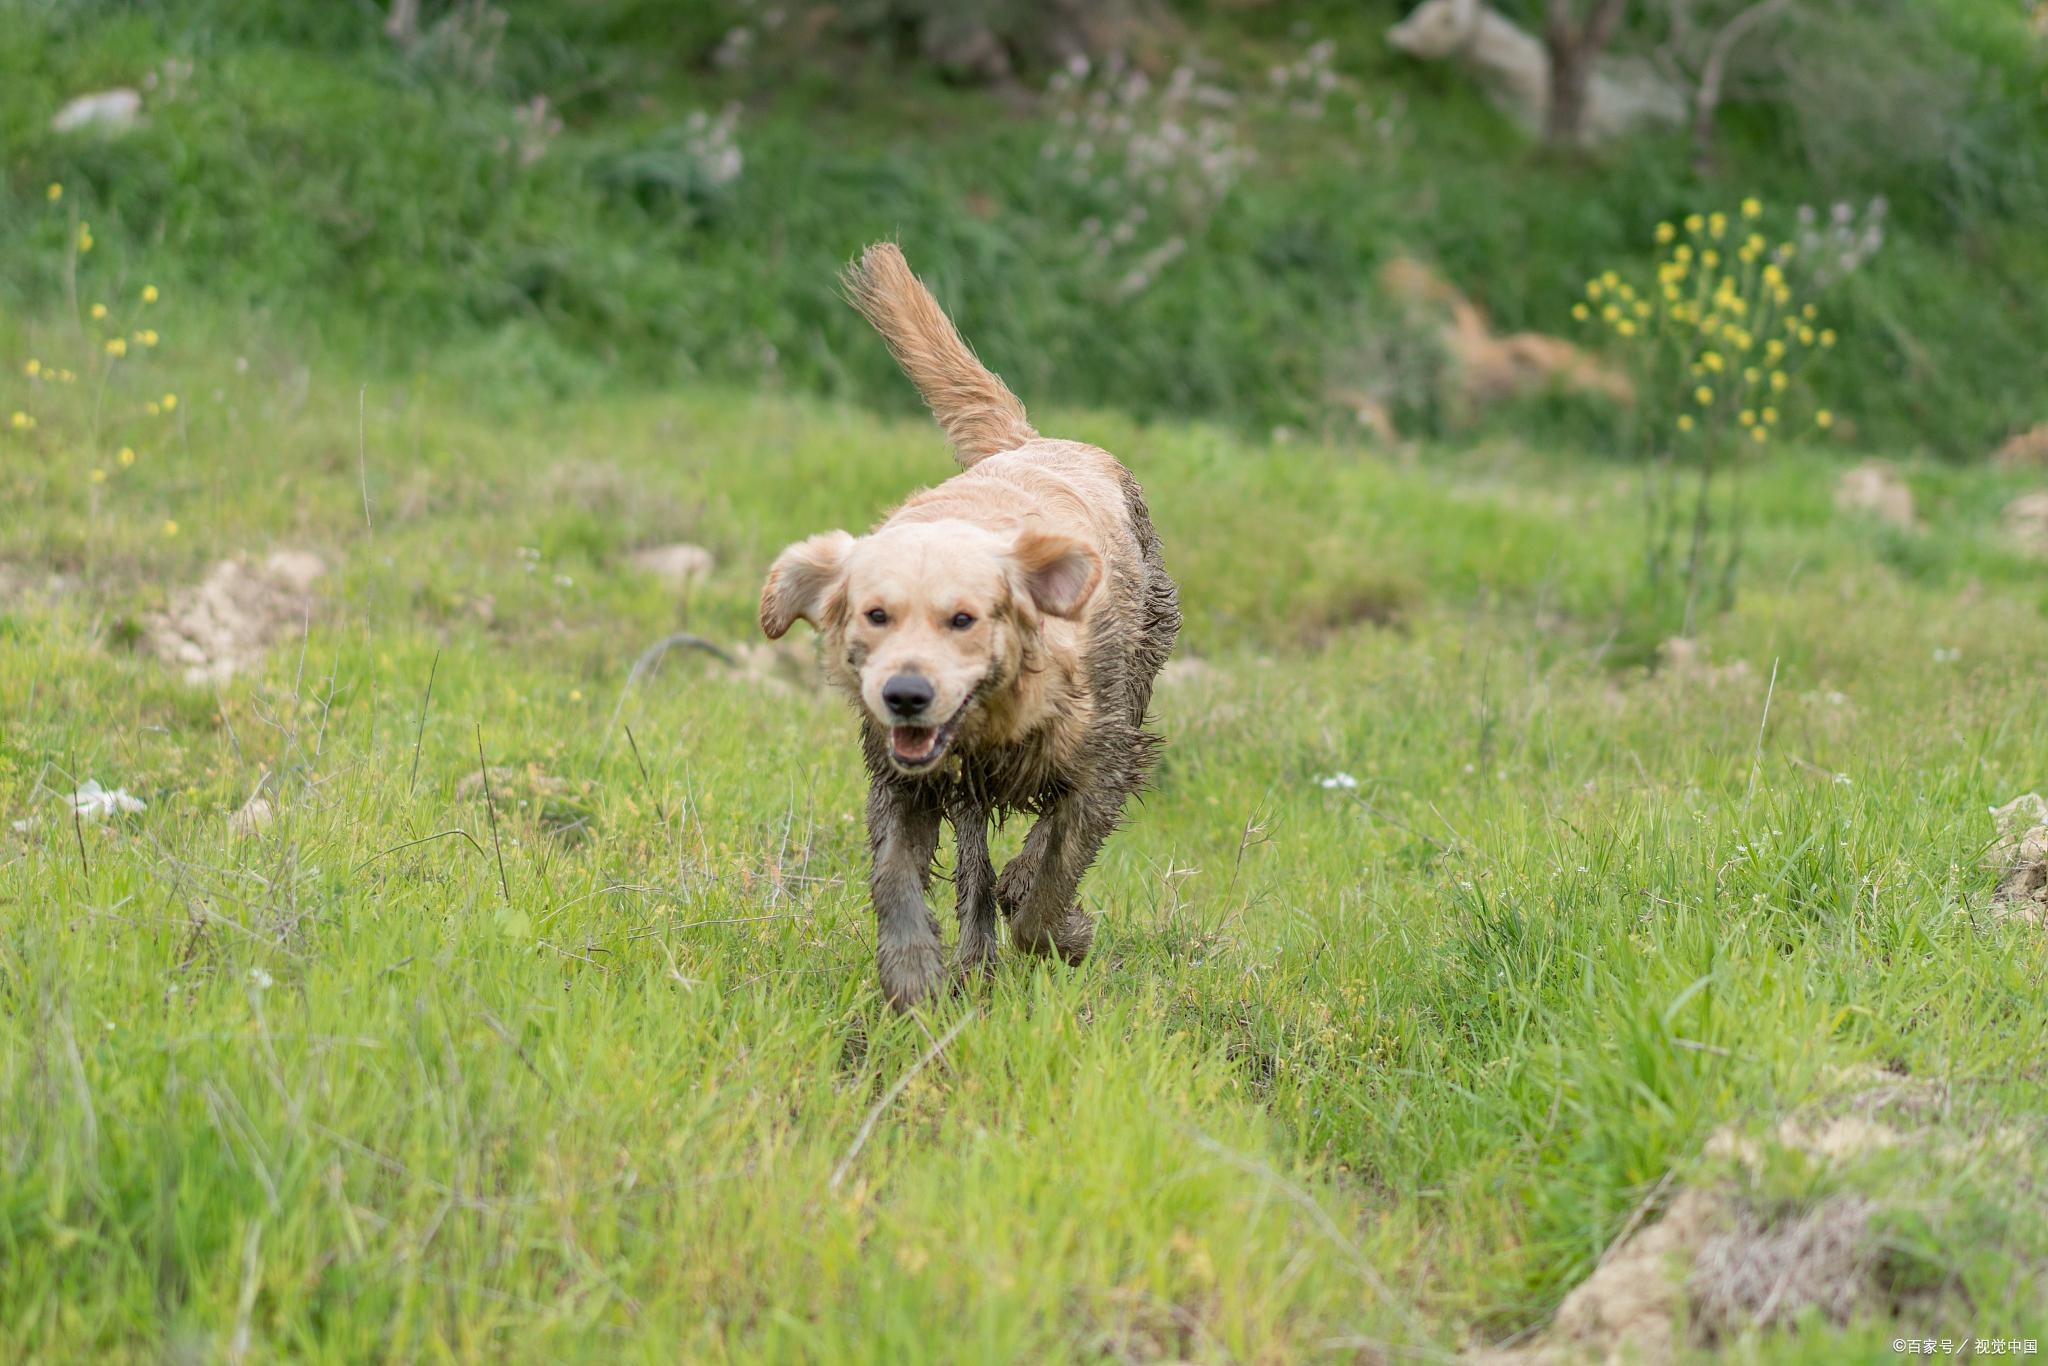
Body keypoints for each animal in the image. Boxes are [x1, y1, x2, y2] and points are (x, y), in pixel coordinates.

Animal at [757, 245, 1179, 1011]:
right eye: (876, 615)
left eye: (964, 619)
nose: (906, 695)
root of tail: (1035, 441)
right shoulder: (905, 776)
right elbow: (894, 875)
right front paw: (913, 977)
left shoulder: (1101, 760)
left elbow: (1054, 872)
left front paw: (1063, 930)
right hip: (966, 788)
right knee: (974, 859)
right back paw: (974, 957)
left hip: (1140, 671)